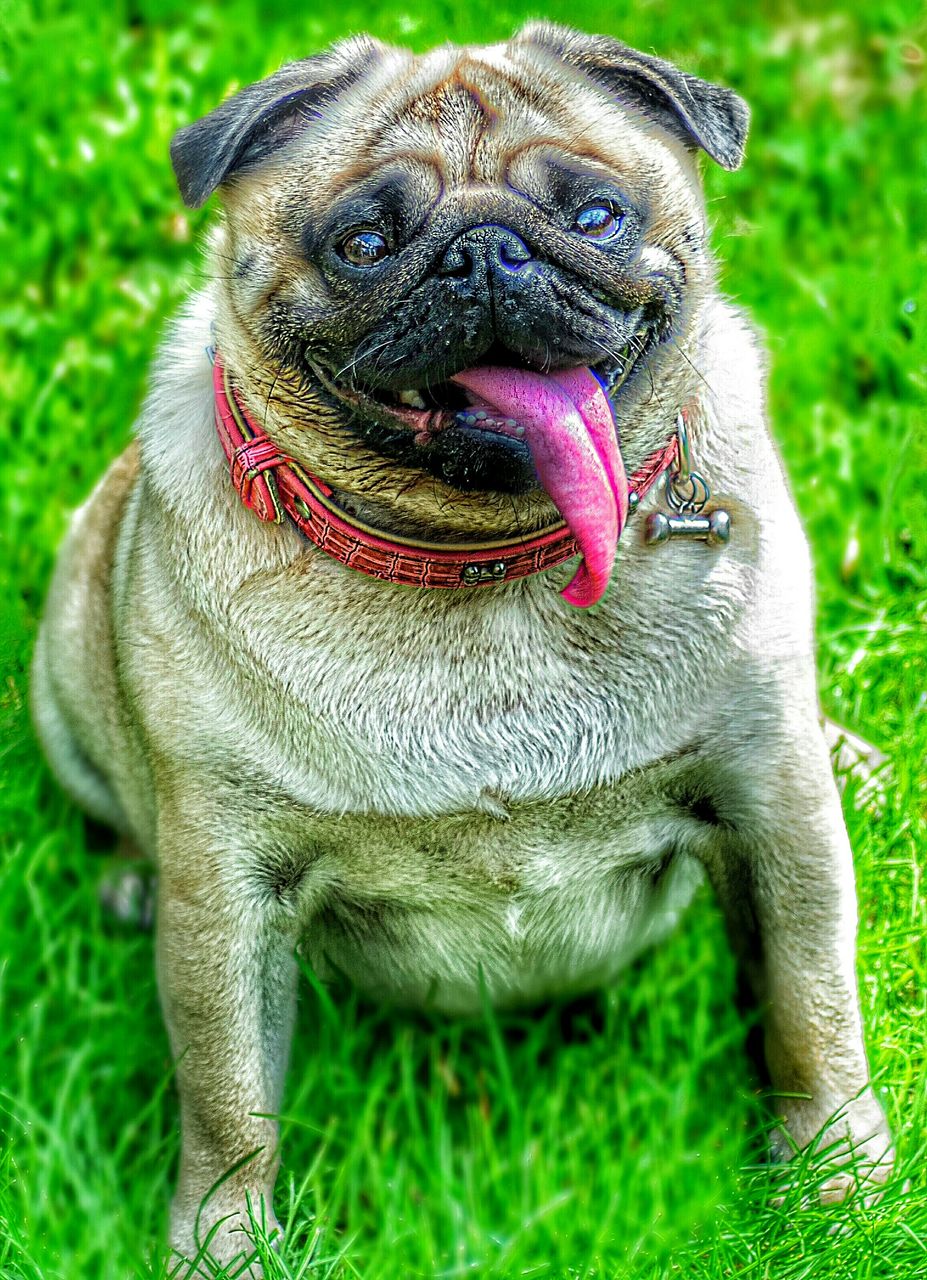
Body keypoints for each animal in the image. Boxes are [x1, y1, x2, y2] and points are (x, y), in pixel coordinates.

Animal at [32, 22, 896, 1280]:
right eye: (364, 244)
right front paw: (225, 1245)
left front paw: (839, 1189)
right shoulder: (227, 887)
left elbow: (807, 1011)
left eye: (596, 215)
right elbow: (229, 1098)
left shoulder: (773, 807)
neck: (490, 572)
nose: (485, 251)